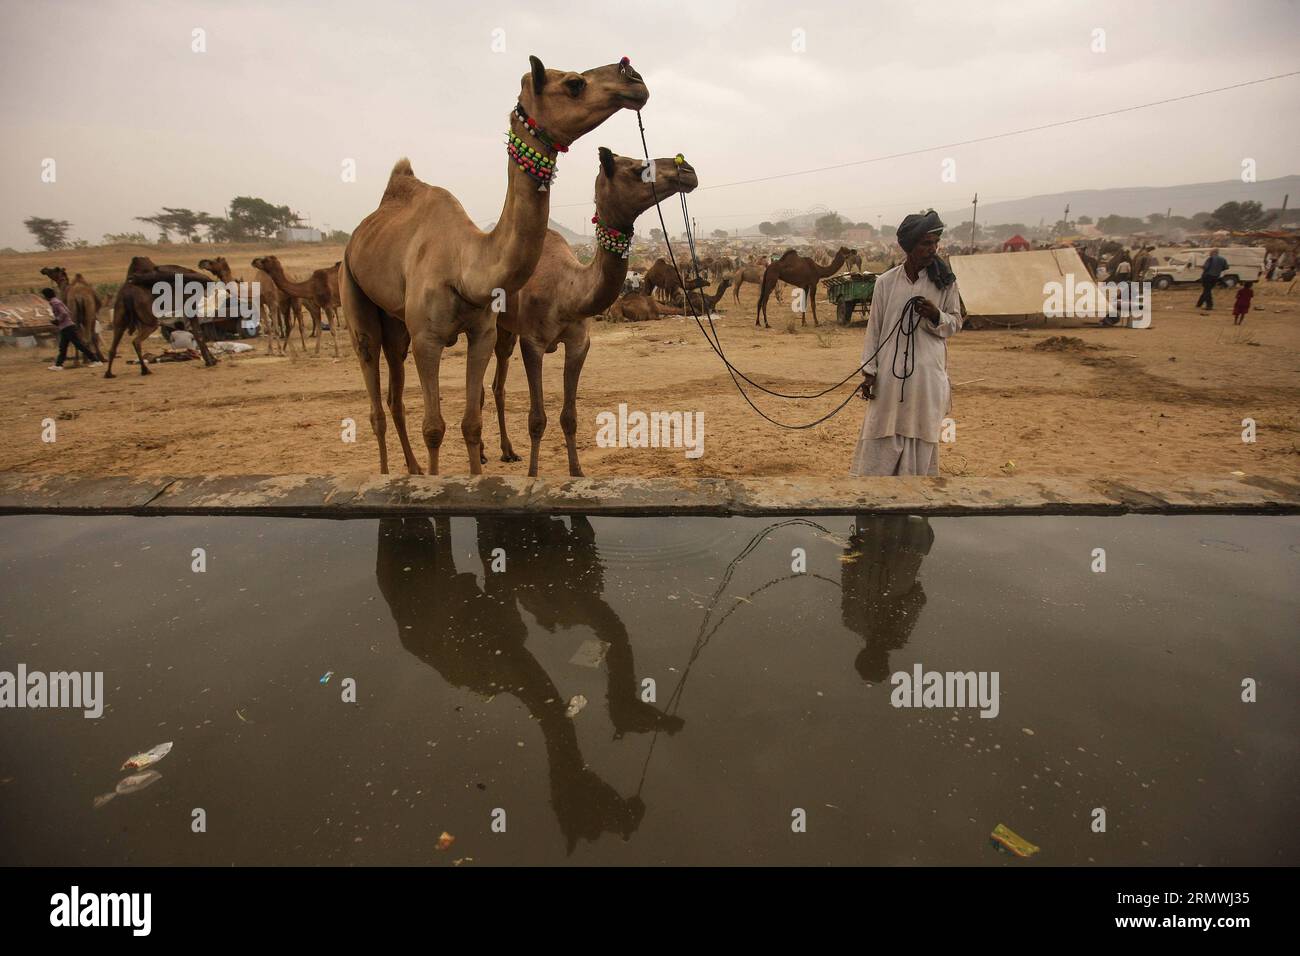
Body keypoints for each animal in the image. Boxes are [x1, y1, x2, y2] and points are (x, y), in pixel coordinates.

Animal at [338, 55, 647, 476]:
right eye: (574, 84)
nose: (635, 78)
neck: (465, 266)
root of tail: (357, 237)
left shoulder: (482, 330)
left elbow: (471, 421)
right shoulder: (427, 339)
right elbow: (434, 428)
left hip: (397, 324)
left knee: (395, 396)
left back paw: (416, 469)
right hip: (353, 292)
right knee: (374, 394)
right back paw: (392, 474)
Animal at [488, 149, 696, 476]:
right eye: (637, 169)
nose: (687, 169)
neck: (568, 291)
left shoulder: (578, 342)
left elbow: (569, 417)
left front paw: (577, 473)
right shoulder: (532, 342)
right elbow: (537, 419)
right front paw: (533, 476)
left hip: (506, 329)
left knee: (498, 385)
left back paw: (507, 452)